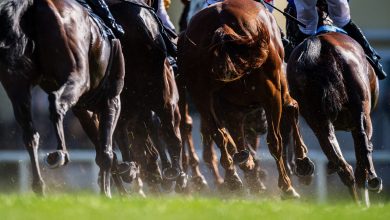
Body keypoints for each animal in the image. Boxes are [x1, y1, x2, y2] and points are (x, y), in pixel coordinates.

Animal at [0, 0, 124, 196]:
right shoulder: (111, 99)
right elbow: (106, 152)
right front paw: (108, 194)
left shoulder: (83, 108)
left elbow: (100, 147)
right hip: (77, 74)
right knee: (55, 102)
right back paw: (60, 154)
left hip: (16, 85)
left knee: (30, 134)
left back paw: (39, 187)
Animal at [178, 0, 312, 198]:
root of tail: (221, 23)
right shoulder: (277, 88)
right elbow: (291, 108)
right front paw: (303, 162)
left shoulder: (230, 108)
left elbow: (235, 139)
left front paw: (247, 169)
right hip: (270, 90)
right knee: (274, 140)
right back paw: (286, 186)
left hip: (200, 94)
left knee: (219, 135)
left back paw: (234, 179)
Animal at [284, 4, 382, 205]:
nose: (287, 42)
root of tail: (321, 46)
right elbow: (366, 147)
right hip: (360, 111)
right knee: (361, 152)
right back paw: (368, 188)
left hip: (318, 119)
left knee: (343, 165)